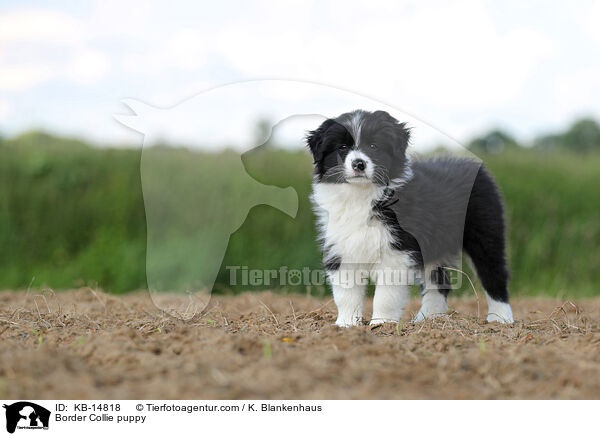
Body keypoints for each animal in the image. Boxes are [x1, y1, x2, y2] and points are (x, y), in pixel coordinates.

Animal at [308, 110, 512, 328]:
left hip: (485, 233)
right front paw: (345, 325)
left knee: (494, 274)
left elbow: (385, 295)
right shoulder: (342, 249)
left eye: (373, 146)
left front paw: (381, 323)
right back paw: (427, 319)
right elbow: (346, 293)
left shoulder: (396, 250)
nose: (358, 164)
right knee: (438, 282)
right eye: (342, 147)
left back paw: (501, 319)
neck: (362, 195)